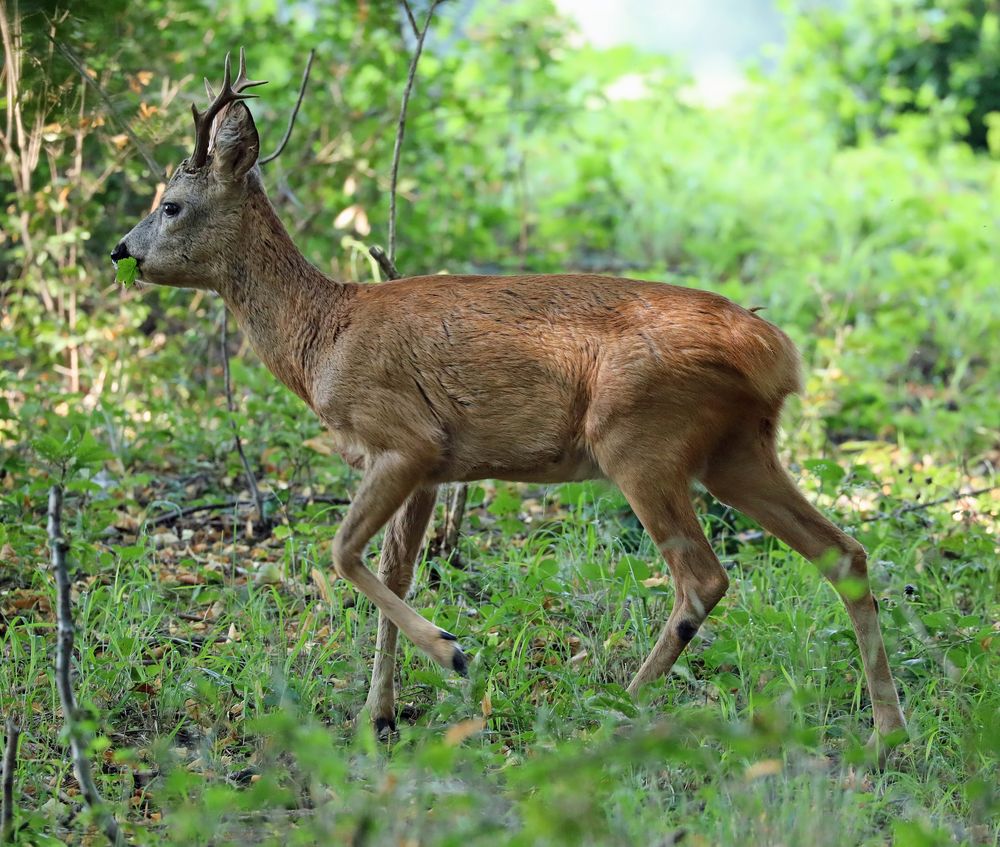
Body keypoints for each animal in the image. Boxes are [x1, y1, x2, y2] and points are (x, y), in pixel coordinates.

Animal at [111, 53, 908, 752]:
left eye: (171, 205)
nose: (122, 250)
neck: (321, 336)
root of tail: (777, 351)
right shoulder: (431, 468)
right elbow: (394, 569)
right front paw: (379, 714)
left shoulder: (405, 437)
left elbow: (341, 552)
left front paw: (452, 654)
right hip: (737, 450)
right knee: (845, 552)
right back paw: (886, 733)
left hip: (640, 438)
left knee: (703, 579)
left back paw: (617, 709)